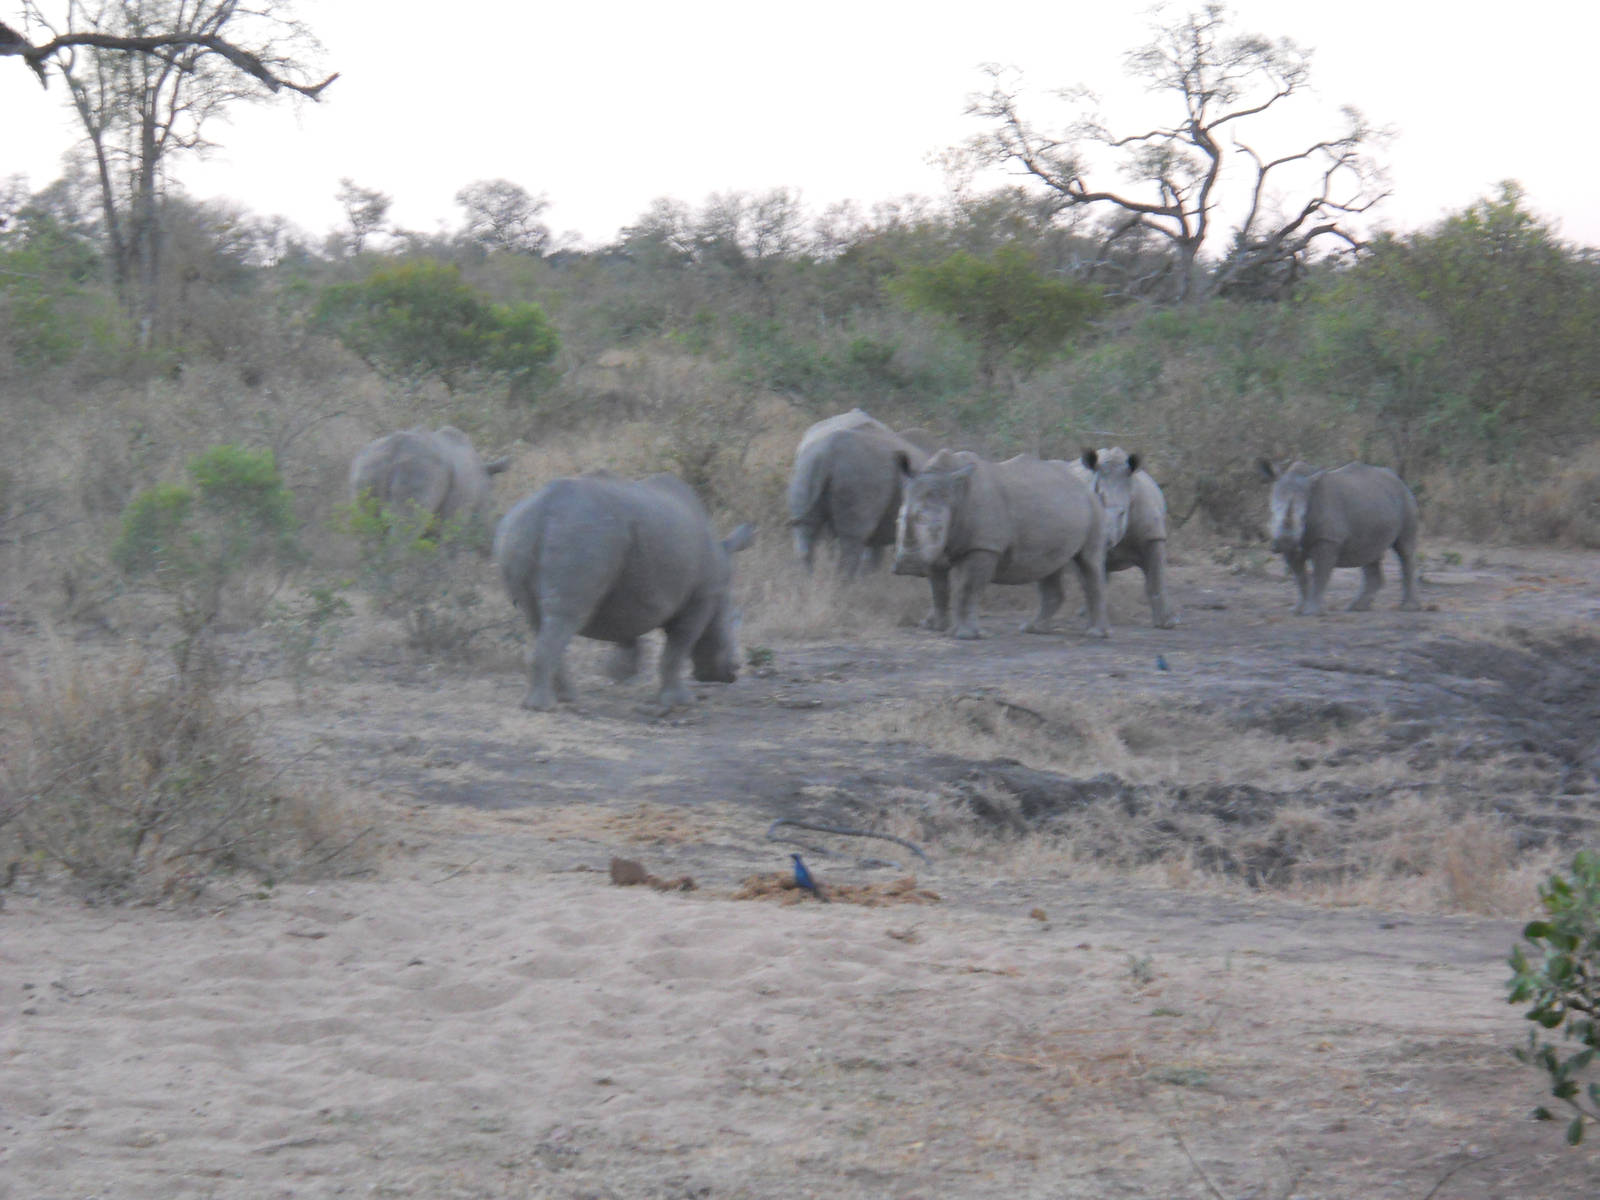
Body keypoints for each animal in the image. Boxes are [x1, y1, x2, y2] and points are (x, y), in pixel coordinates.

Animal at [349, 426, 510, 535]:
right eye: (494, 504)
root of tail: (394, 449)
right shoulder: (457, 516)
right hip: (419, 468)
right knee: (407, 526)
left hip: (368, 465)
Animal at [494, 471, 755, 713]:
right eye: (731, 621)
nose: (731, 673)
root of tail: (544, 506)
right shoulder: (702, 598)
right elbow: (678, 648)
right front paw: (681, 701)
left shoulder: (633, 593)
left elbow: (629, 634)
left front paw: (620, 672)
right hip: (582, 532)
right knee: (565, 616)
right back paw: (542, 706)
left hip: (519, 533)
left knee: (537, 618)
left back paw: (566, 698)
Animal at [788, 425, 931, 577]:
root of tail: (828, 455)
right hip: (858, 475)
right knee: (851, 542)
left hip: (806, 467)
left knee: (806, 531)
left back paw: (810, 579)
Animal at [892, 449, 1110, 640]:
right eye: (898, 521)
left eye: (938, 527)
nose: (910, 565)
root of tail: (1085, 485)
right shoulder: (937, 549)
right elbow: (938, 588)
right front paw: (936, 627)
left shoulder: (984, 546)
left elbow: (967, 588)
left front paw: (964, 635)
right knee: (1049, 568)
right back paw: (1033, 629)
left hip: (1093, 508)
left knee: (1088, 562)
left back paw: (1096, 634)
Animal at [1258, 459, 1421, 616]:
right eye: (1272, 513)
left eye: (1304, 517)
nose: (1285, 542)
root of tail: (1399, 480)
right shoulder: (1291, 548)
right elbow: (1300, 577)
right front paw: (1298, 610)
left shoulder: (1327, 539)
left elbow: (1320, 574)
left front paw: (1313, 612)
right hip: (1375, 505)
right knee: (1369, 553)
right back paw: (1357, 608)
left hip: (1406, 499)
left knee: (1405, 550)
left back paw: (1408, 608)